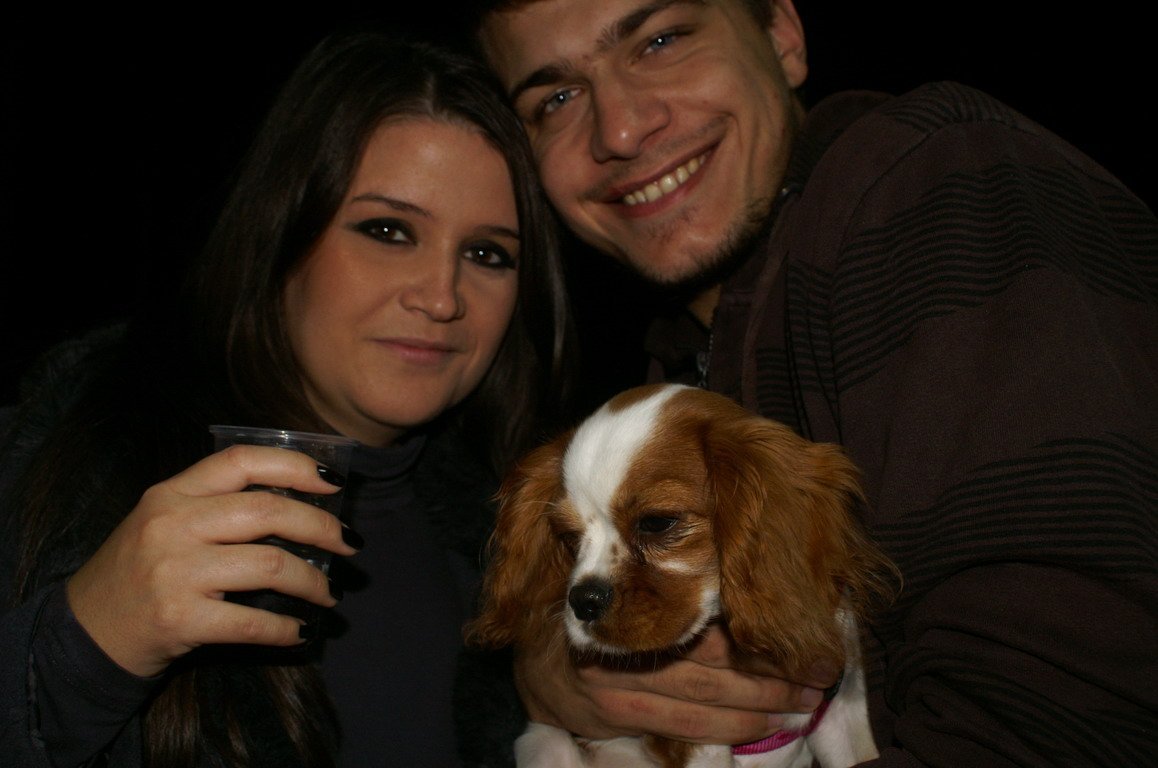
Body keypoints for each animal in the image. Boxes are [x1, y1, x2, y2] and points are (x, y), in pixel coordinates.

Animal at [465, 383, 899, 768]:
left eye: (657, 523)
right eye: (569, 537)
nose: (583, 601)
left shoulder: (842, 709)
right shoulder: (695, 740)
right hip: (544, 741)